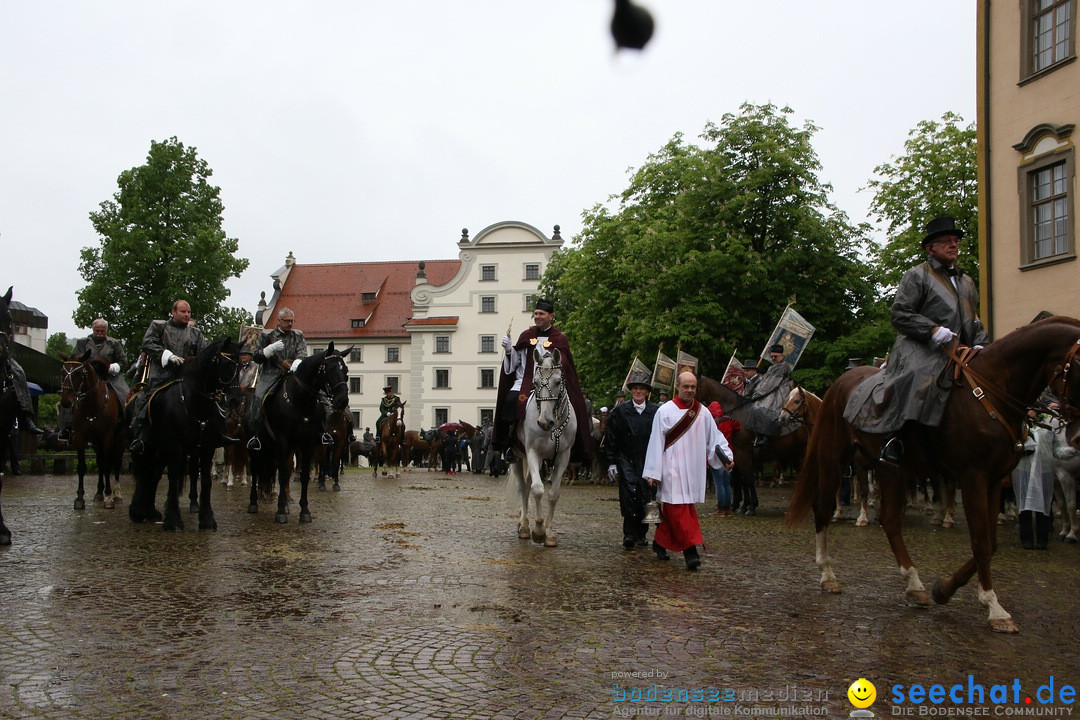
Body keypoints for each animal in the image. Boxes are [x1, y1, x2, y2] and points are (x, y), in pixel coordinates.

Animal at [60, 349, 128, 509]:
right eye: (62, 372)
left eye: (79, 373)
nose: (66, 402)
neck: (92, 406)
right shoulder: (80, 438)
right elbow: (82, 467)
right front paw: (79, 498)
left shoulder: (107, 438)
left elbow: (108, 466)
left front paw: (109, 497)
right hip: (97, 444)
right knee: (100, 464)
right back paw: (98, 493)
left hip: (120, 441)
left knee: (116, 463)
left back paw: (117, 494)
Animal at [128, 336, 243, 528]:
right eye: (224, 363)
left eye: (241, 365)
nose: (235, 400)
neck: (195, 403)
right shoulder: (175, 444)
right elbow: (174, 478)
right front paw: (173, 519)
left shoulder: (206, 446)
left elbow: (205, 480)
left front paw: (207, 519)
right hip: (148, 447)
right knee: (145, 471)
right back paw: (138, 511)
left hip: (162, 449)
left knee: (153, 473)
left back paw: (149, 511)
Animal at [247, 343, 349, 524]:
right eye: (330, 368)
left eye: (346, 370)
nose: (342, 400)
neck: (301, 402)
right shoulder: (283, 441)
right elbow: (282, 475)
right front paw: (281, 510)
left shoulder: (308, 444)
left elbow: (304, 476)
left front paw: (304, 510)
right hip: (257, 447)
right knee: (255, 470)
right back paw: (254, 502)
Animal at [509, 347, 578, 546]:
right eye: (535, 382)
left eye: (558, 381)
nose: (544, 422)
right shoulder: (533, 452)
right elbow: (538, 489)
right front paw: (538, 530)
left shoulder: (563, 457)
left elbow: (553, 494)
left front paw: (549, 533)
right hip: (518, 458)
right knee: (524, 488)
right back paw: (524, 526)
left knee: (528, 485)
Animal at [786, 317, 1080, 634]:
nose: (1075, 435)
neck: (993, 390)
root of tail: (840, 384)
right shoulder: (973, 477)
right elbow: (981, 542)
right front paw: (994, 608)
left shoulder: (992, 481)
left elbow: (990, 543)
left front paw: (946, 588)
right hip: (833, 459)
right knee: (823, 509)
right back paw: (828, 575)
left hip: (891, 469)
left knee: (891, 520)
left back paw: (914, 584)